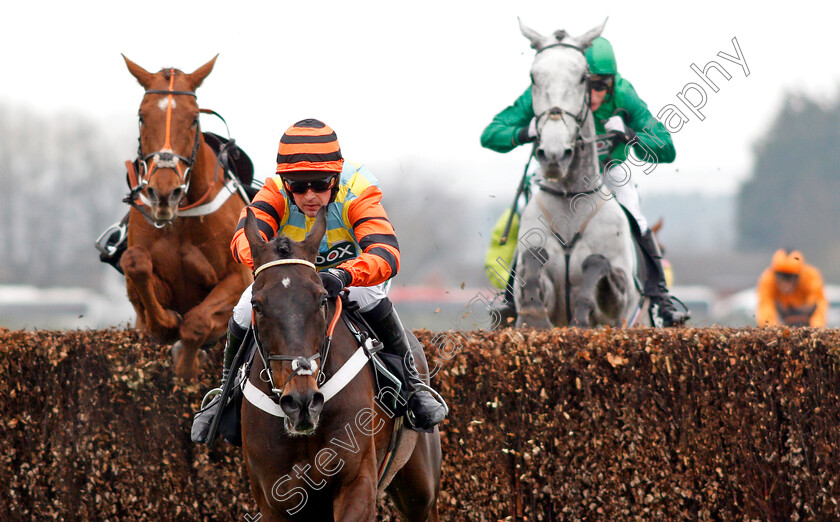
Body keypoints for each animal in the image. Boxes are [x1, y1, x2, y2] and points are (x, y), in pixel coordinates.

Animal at [120, 55, 253, 378]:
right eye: (142, 116)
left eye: (193, 118)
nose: (164, 192)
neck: (181, 217)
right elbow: (136, 264)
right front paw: (167, 324)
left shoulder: (239, 279)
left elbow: (197, 321)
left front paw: (187, 363)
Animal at [240, 208, 442, 520]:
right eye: (257, 305)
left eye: (322, 299)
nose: (302, 401)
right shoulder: (274, 500)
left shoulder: (356, 480)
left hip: (421, 491)